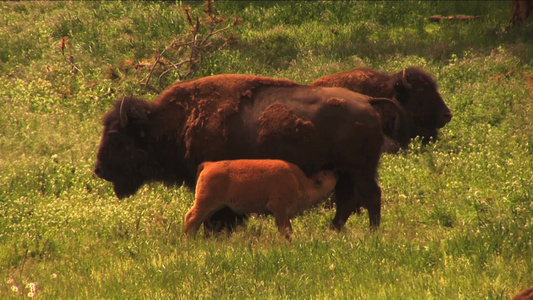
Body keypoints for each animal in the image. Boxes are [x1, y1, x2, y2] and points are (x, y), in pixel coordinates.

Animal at [185, 159, 336, 239]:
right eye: (323, 176)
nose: (336, 173)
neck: (300, 182)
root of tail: (209, 164)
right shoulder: (280, 208)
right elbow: (286, 229)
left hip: (212, 206)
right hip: (206, 202)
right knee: (191, 217)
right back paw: (189, 240)